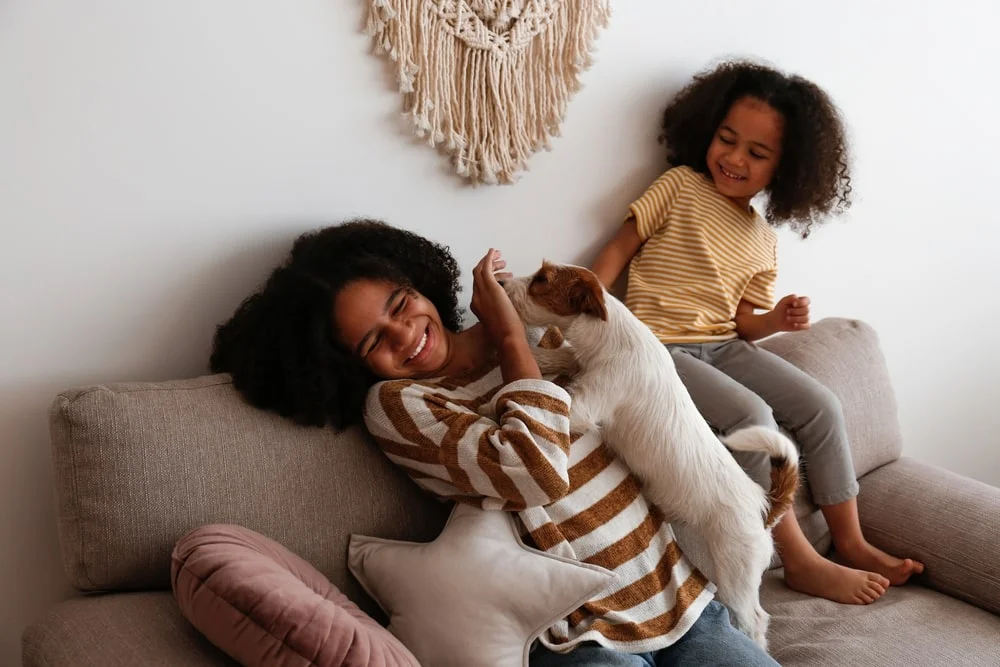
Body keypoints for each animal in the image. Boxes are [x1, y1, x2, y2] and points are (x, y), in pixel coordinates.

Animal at [504, 260, 800, 648]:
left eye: (541, 280)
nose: (501, 282)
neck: (609, 333)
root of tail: (763, 505)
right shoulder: (577, 362)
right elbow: (560, 356)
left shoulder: (584, 405)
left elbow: (558, 392)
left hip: (737, 573)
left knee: (755, 618)